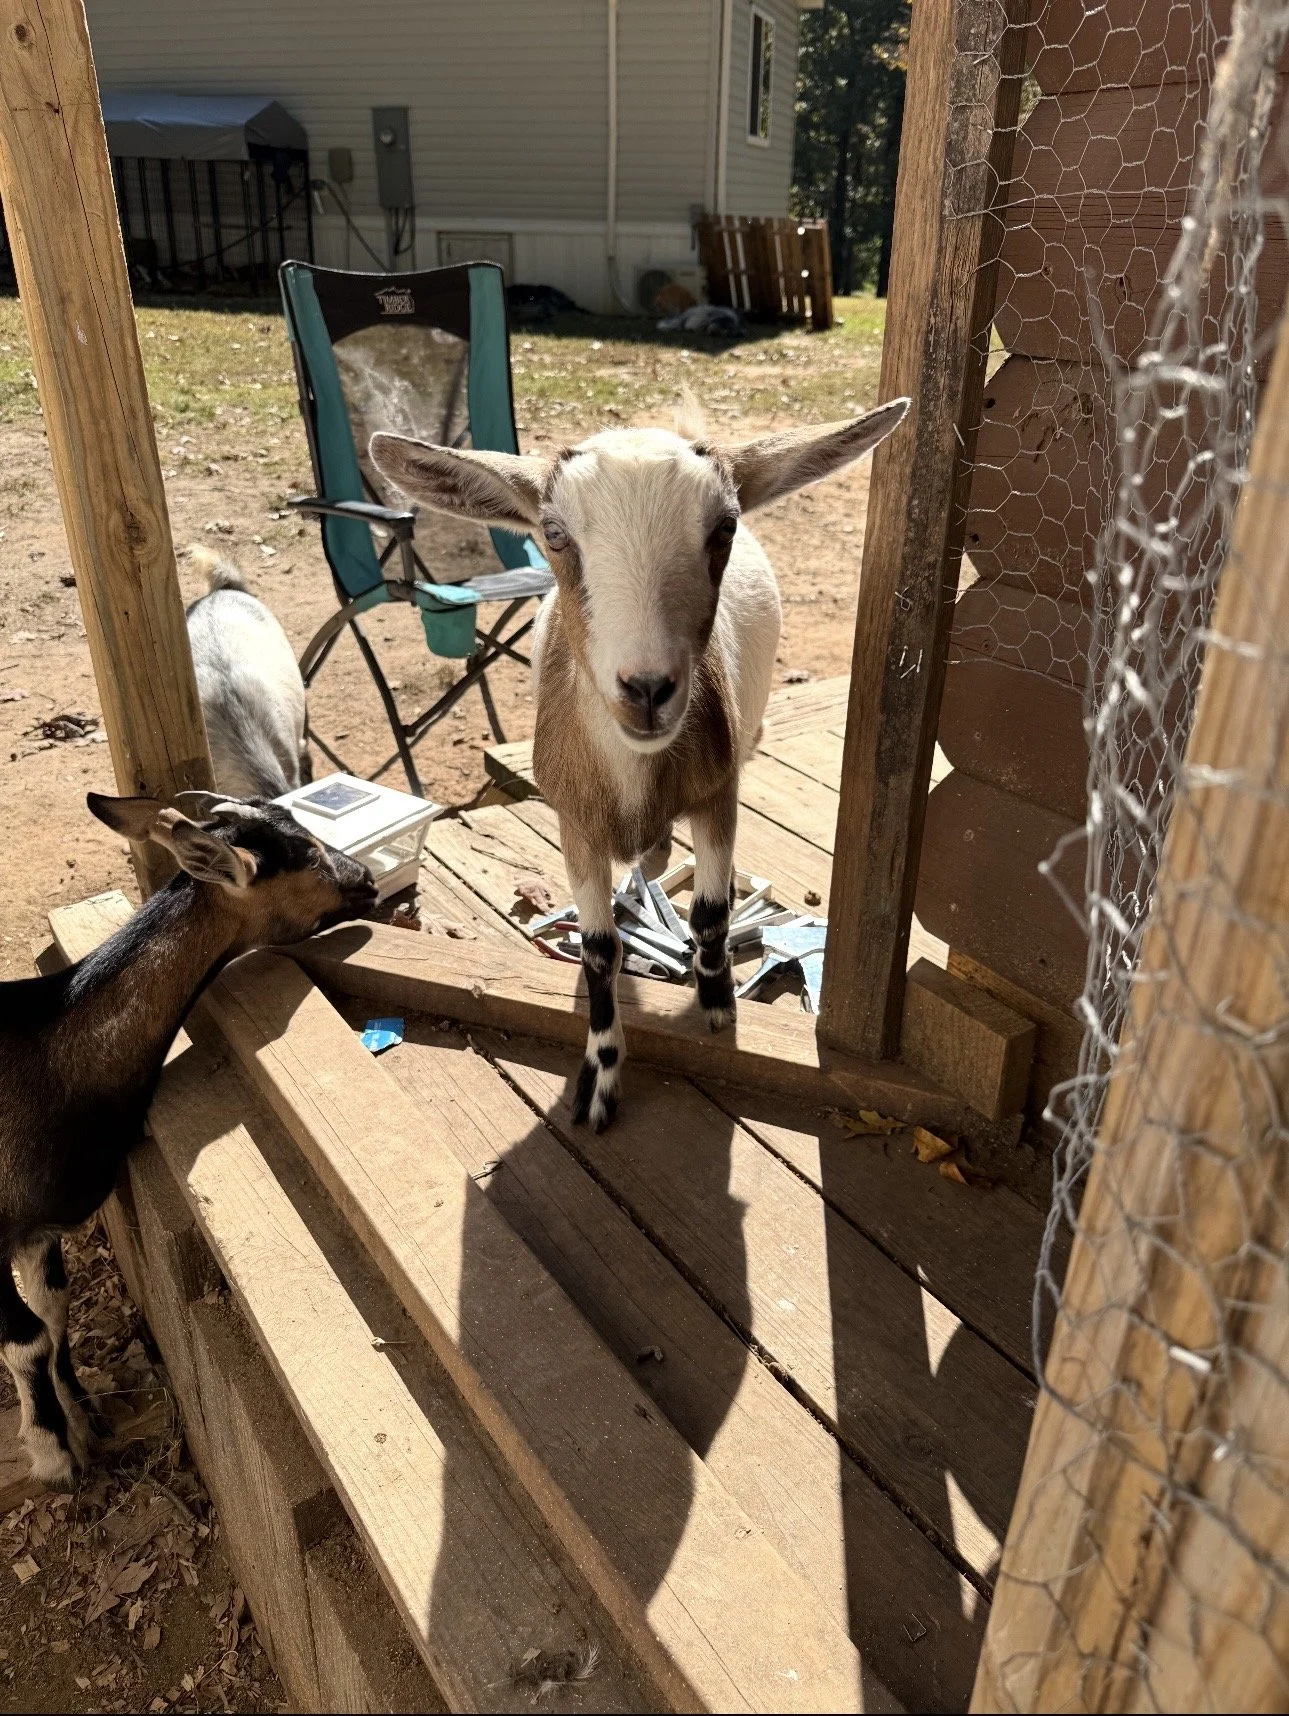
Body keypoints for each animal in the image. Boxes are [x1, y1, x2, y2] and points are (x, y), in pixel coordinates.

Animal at [0, 793, 377, 1486]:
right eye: (309, 854)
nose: (366, 879)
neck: (48, 1053)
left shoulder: (40, 1228)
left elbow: (52, 1312)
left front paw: (81, 1424)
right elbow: (27, 1337)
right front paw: (51, 1455)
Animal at [371, 397, 909, 1129]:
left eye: (724, 525)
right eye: (552, 532)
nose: (648, 690)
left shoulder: (717, 792)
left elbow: (708, 912)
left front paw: (717, 1003)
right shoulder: (573, 821)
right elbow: (600, 948)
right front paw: (599, 1081)